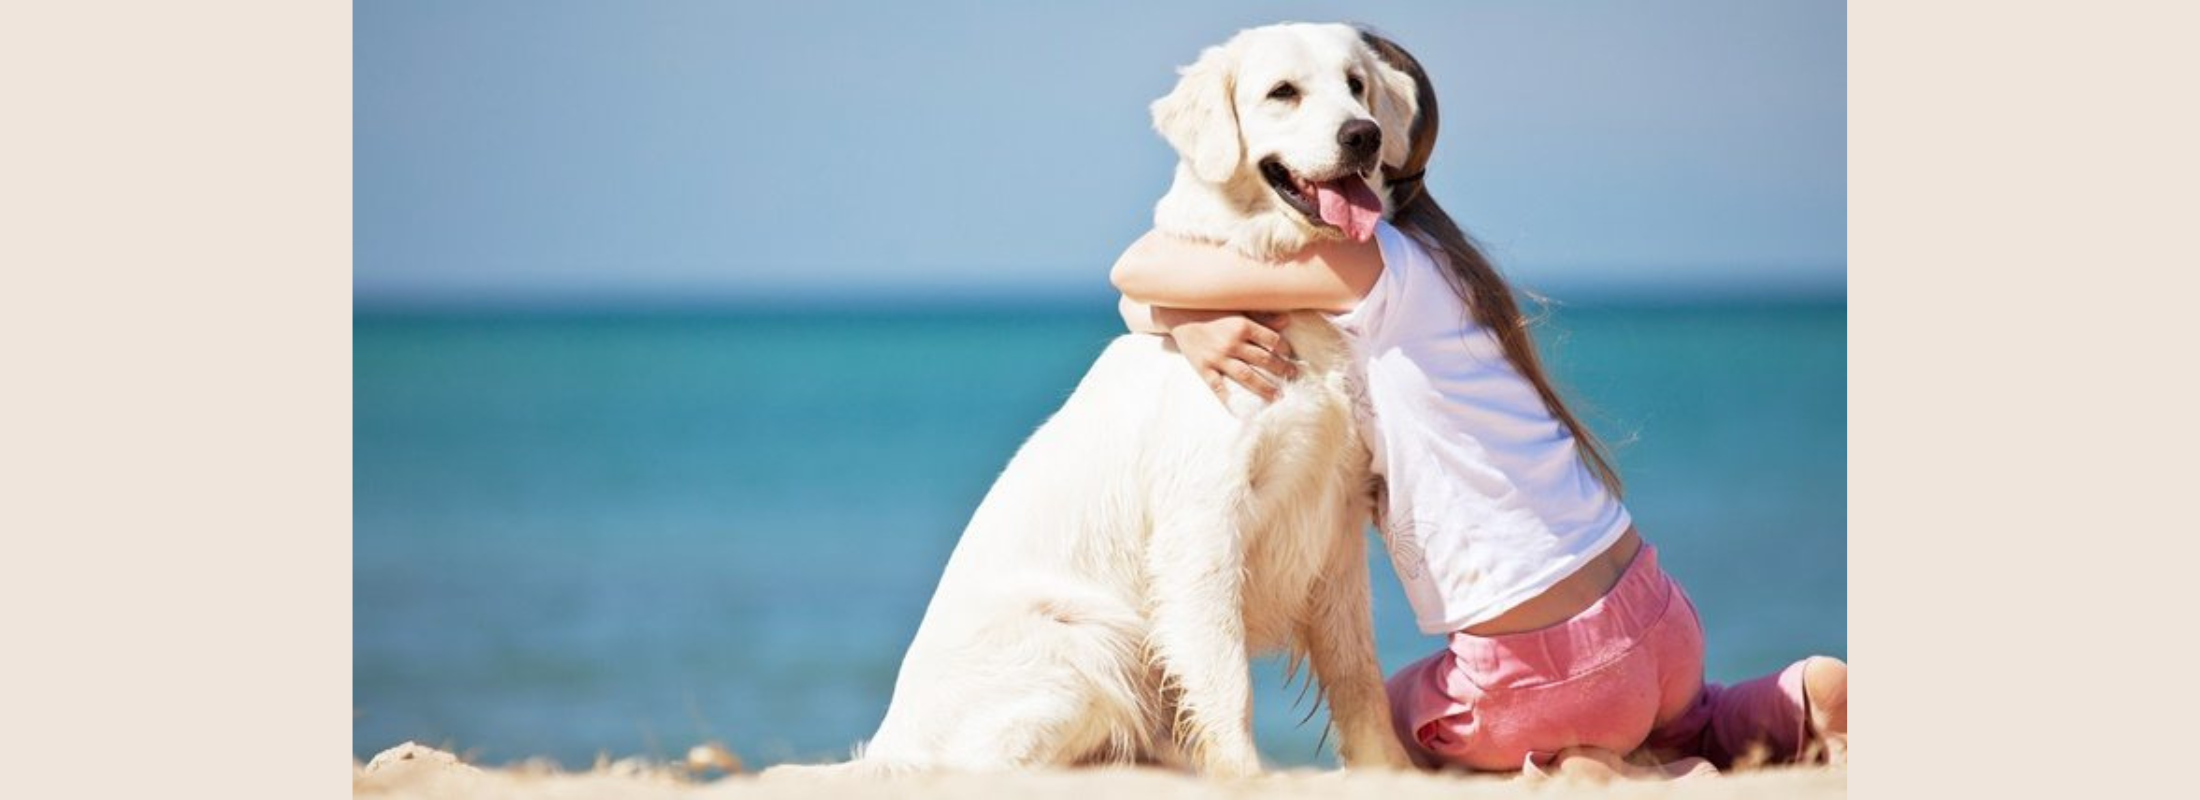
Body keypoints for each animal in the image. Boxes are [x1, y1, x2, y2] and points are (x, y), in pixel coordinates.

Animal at [774, 21, 1425, 778]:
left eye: (1356, 85)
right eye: (1283, 92)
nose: (1363, 135)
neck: (1271, 286)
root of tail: (888, 746)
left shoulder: (1335, 518)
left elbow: (1357, 676)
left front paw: (1393, 771)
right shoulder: (1202, 522)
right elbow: (1226, 679)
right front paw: (1244, 776)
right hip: (1086, 639)